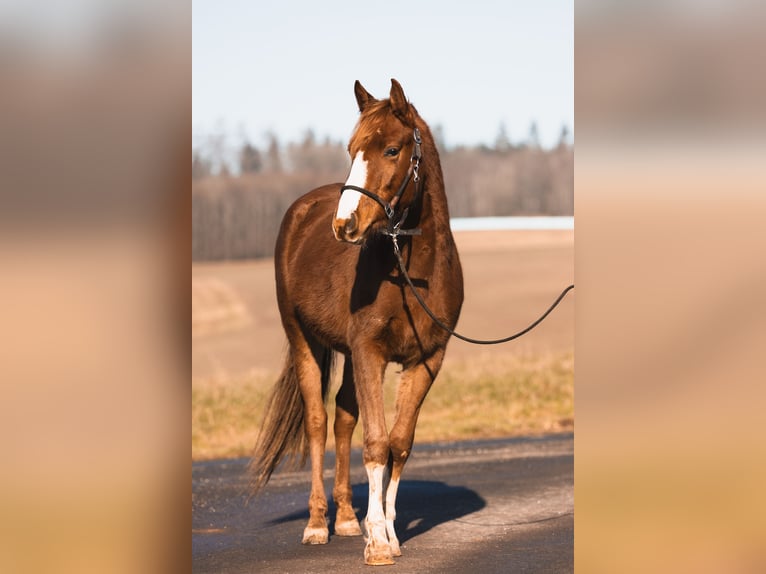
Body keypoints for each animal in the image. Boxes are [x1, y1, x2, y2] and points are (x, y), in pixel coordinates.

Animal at [252, 80, 464, 568]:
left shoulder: (427, 359)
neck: (411, 274)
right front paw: (379, 543)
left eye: (392, 149)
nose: (344, 224)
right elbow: (376, 442)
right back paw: (317, 525)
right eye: (351, 150)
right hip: (304, 340)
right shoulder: (371, 352)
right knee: (317, 421)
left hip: (348, 355)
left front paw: (386, 531)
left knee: (344, 419)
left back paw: (347, 518)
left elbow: (399, 442)